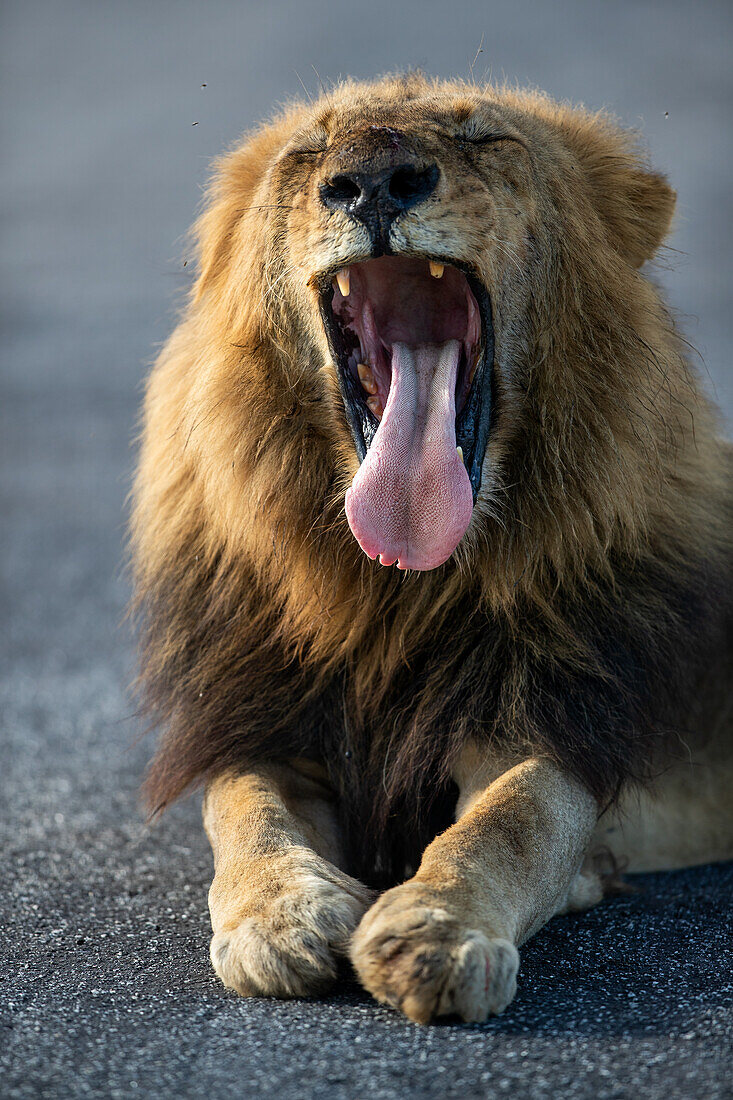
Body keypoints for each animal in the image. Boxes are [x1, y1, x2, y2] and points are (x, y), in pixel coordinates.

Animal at [131, 75, 730, 1020]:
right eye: (310, 151)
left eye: (484, 137)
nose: (375, 182)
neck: (399, 592)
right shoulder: (267, 719)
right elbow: (244, 810)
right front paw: (279, 919)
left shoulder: (557, 723)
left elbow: (512, 822)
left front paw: (437, 933)